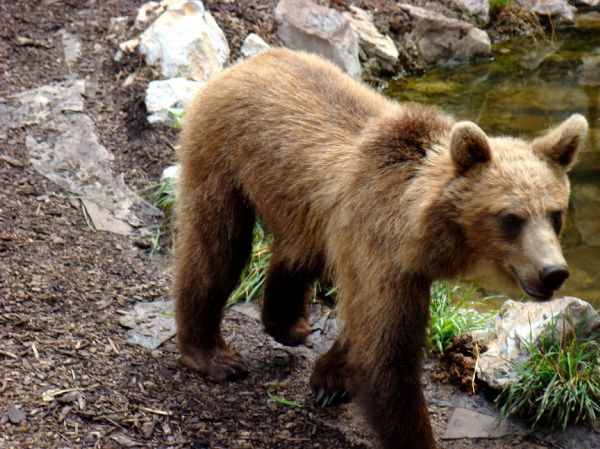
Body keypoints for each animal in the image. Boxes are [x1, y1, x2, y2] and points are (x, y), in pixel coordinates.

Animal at [172, 49, 584, 448]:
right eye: (511, 218)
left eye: (556, 214)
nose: (553, 272)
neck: (420, 231)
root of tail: (248, 62)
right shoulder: (380, 248)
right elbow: (386, 354)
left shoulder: (395, 263)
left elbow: (366, 328)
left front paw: (329, 379)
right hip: (223, 153)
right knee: (216, 248)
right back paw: (213, 354)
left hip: (308, 208)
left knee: (299, 252)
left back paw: (290, 324)